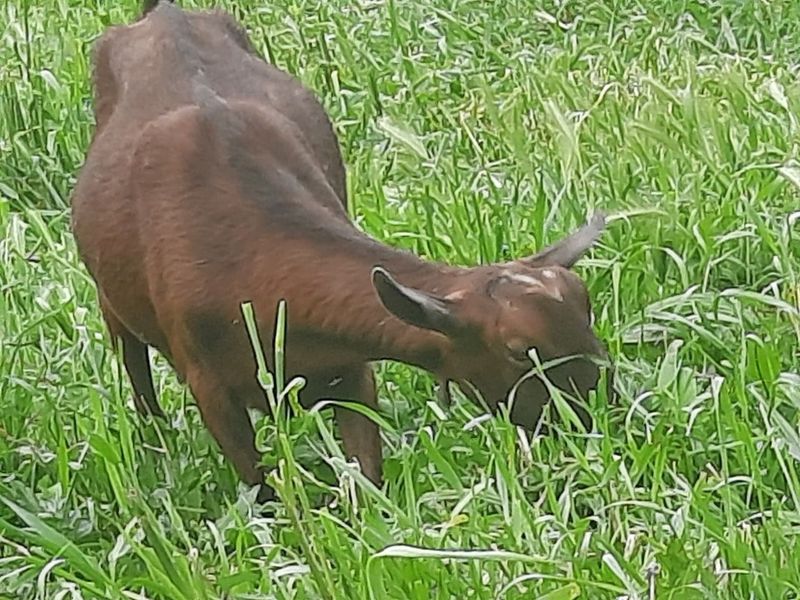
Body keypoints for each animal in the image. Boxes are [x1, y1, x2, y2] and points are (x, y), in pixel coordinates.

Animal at [72, 2, 608, 504]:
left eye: (586, 306)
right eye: (520, 351)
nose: (598, 416)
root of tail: (161, 12)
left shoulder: (349, 366)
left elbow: (367, 479)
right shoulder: (209, 385)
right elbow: (260, 489)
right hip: (109, 296)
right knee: (131, 354)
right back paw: (153, 437)